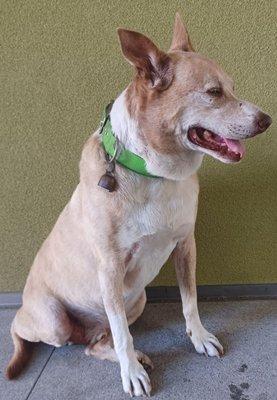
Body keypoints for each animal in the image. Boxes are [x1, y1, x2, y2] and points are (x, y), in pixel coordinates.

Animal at [5, 12, 270, 396]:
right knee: (57, 332)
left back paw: (129, 354)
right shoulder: (110, 268)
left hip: (138, 298)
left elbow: (190, 301)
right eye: (213, 93)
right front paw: (130, 373)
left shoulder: (185, 244)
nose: (266, 120)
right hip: (54, 319)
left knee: (95, 344)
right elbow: (122, 334)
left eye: (232, 87)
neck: (156, 174)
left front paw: (199, 337)